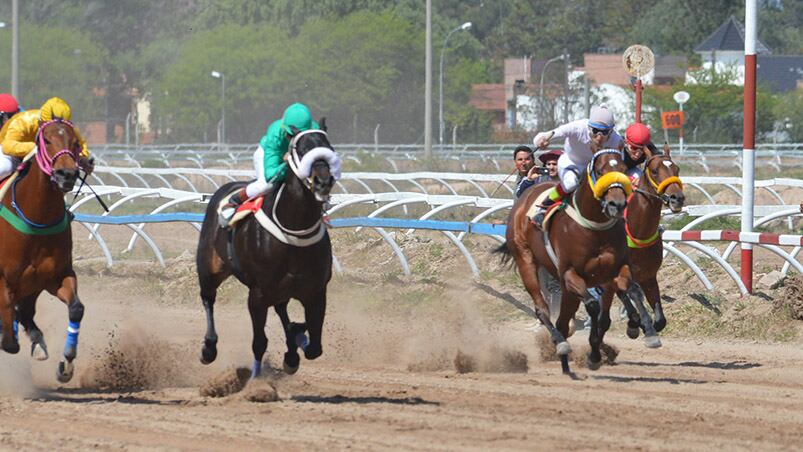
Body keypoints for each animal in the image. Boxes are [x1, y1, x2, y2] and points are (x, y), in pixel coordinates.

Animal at [0, 119, 88, 382]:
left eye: (76, 142)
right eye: (46, 140)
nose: (66, 174)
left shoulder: (55, 276)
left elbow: (76, 309)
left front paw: (66, 364)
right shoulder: (4, 279)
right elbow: (9, 336)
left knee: (27, 314)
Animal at [199, 122, 340, 378]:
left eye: (329, 147)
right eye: (301, 150)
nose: (323, 182)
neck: (294, 229)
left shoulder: (316, 291)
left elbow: (314, 344)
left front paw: (295, 344)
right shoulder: (258, 293)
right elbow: (259, 342)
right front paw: (256, 380)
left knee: (282, 309)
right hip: (209, 267)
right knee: (208, 298)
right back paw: (209, 348)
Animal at [502, 150, 660, 372]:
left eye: (623, 170)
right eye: (600, 171)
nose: (618, 204)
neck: (595, 228)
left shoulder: (616, 269)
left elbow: (633, 290)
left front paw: (649, 332)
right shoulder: (570, 274)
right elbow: (593, 306)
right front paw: (594, 354)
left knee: (562, 320)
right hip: (526, 261)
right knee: (542, 310)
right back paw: (560, 343)